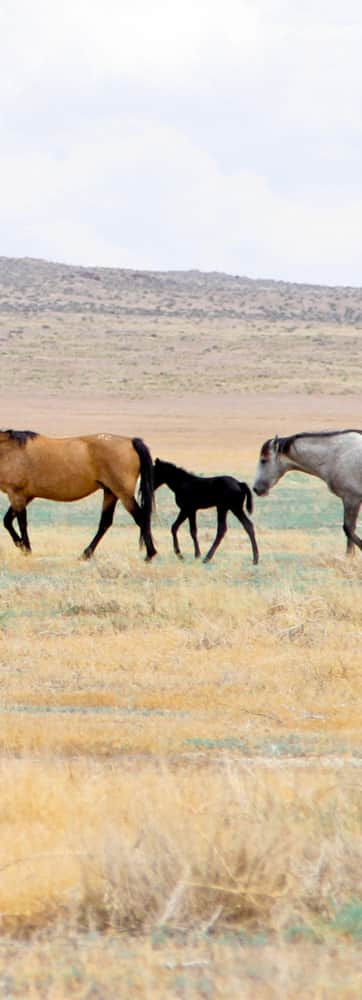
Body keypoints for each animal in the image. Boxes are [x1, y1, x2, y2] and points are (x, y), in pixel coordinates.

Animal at [0, 428, 157, 560]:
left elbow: (21, 523)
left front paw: (26, 549)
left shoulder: (16, 494)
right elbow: (7, 520)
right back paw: (86, 554)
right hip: (110, 492)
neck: (10, 450)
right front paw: (21, 545)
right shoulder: (26, 496)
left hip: (123, 494)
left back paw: (150, 554)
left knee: (141, 518)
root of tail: (130, 441)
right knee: (105, 523)